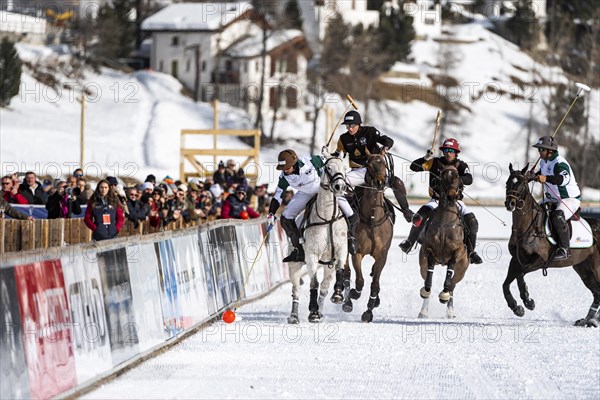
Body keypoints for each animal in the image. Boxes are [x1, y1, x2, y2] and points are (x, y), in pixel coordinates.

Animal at [288, 152, 350, 324]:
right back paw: (294, 316)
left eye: (344, 168)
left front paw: (338, 295)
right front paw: (313, 312)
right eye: (328, 168)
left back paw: (321, 310)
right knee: (296, 289)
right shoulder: (311, 256)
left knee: (324, 286)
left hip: (327, 266)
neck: (327, 218)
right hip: (294, 265)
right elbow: (313, 283)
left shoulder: (341, 251)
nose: (340, 187)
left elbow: (340, 270)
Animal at [336, 155, 396, 324]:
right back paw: (347, 300)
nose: (380, 182)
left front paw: (369, 311)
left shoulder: (382, 255)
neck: (372, 219)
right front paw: (354, 294)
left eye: (383, 163)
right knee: (347, 274)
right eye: (369, 165)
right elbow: (359, 280)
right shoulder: (357, 252)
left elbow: (375, 283)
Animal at [418, 166, 468, 318]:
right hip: (421, 264)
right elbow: (428, 278)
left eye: (457, 176)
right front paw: (426, 291)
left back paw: (450, 310)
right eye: (442, 177)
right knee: (426, 279)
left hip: (461, 270)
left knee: (452, 286)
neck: (445, 223)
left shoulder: (458, 252)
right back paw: (423, 311)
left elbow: (451, 266)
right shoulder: (428, 250)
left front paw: (444, 294)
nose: (451, 197)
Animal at [504, 164, 596, 326]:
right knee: (597, 292)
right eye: (507, 183)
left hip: (596, 267)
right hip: (583, 268)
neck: (527, 228)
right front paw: (518, 307)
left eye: (522, 184)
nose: (510, 204)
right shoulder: (516, 259)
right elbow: (506, 283)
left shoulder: (540, 260)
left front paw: (528, 301)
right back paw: (586, 320)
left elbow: (519, 274)